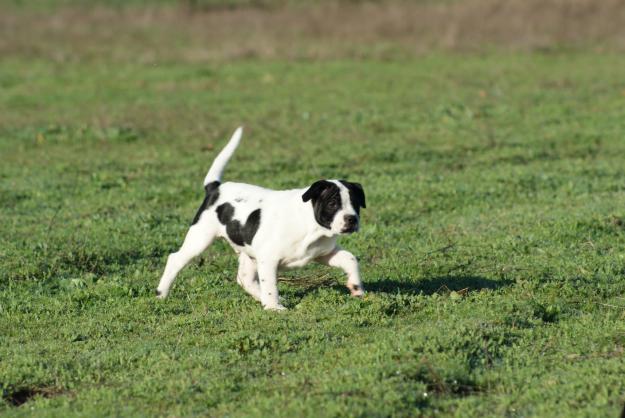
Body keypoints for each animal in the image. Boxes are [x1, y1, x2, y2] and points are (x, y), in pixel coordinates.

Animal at [155, 127, 366, 310]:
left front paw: (357, 288)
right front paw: (274, 308)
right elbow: (271, 284)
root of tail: (216, 188)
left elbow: (350, 259)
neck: (312, 228)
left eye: (355, 204)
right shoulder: (268, 259)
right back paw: (161, 294)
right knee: (175, 259)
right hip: (200, 237)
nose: (351, 219)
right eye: (333, 204)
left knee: (244, 279)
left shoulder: (324, 253)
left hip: (248, 253)